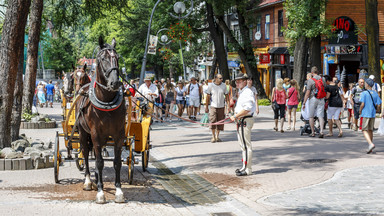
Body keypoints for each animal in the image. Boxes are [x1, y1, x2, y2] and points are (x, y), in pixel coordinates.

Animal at [76, 36, 126, 203]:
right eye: (103, 58)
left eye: (117, 58)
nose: (115, 82)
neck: (107, 100)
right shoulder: (95, 134)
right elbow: (98, 162)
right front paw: (100, 192)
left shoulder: (119, 135)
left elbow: (117, 162)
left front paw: (118, 191)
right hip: (83, 132)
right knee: (86, 153)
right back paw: (88, 181)